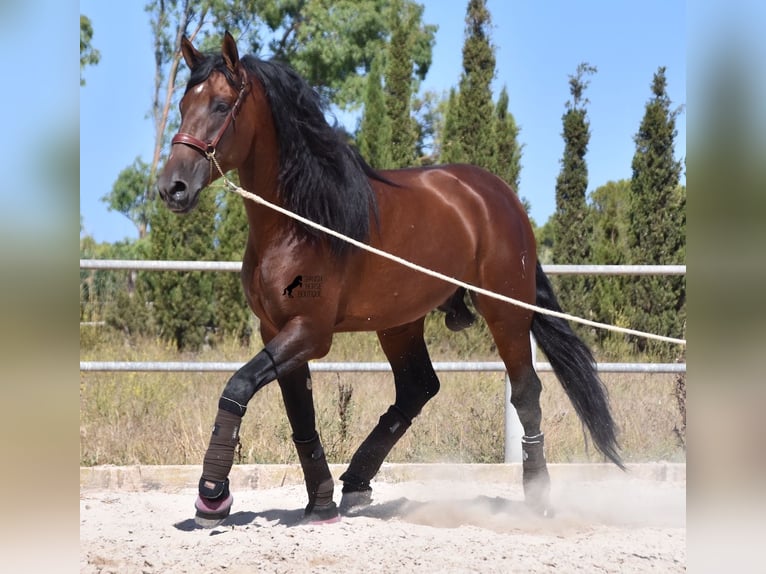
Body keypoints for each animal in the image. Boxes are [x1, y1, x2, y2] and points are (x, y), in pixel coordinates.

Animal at [156, 32, 624, 532]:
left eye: (222, 106)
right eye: (183, 104)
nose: (172, 188)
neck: (301, 222)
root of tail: (500, 196)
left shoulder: (310, 333)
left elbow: (237, 387)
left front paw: (212, 497)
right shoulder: (276, 331)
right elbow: (301, 417)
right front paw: (319, 504)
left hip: (506, 312)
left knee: (526, 393)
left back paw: (537, 497)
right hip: (400, 322)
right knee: (419, 389)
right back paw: (356, 483)